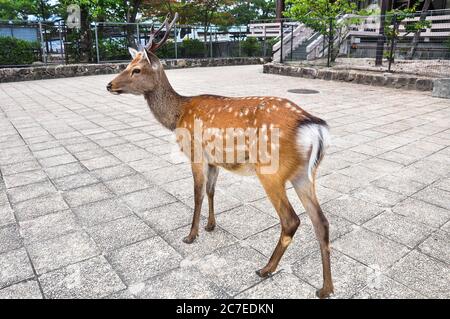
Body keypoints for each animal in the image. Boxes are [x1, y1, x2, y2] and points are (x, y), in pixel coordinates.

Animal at [107, 11, 334, 298]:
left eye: (136, 69)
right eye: (127, 63)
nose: (109, 85)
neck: (178, 115)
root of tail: (315, 127)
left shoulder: (195, 152)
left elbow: (197, 194)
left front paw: (191, 235)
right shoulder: (215, 159)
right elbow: (211, 191)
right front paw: (211, 226)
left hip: (271, 171)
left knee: (291, 220)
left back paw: (266, 269)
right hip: (304, 174)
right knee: (321, 222)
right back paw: (325, 288)